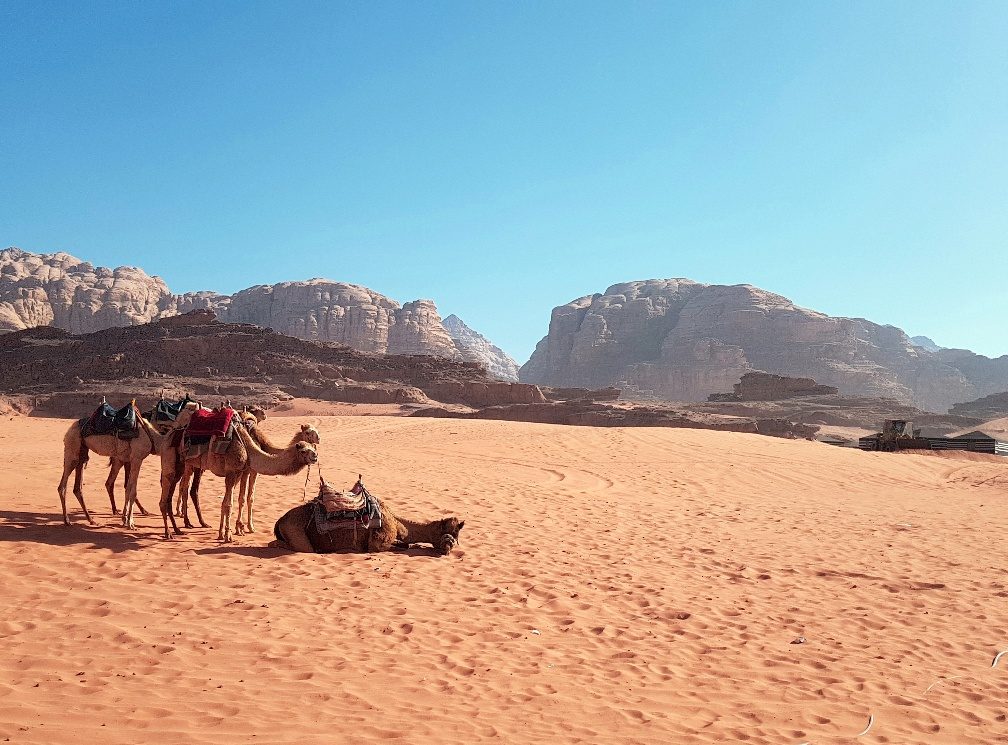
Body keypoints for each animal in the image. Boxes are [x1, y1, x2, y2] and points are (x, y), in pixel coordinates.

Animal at [56, 401, 201, 532]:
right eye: (193, 411)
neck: (155, 439)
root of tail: (70, 429)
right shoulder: (137, 458)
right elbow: (132, 490)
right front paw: (131, 523)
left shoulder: (131, 459)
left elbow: (128, 488)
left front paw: (125, 520)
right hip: (72, 448)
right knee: (62, 485)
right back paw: (67, 520)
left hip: (82, 453)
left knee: (78, 487)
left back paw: (91, 520)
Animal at [274, 479, 465, 556]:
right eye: (449, 535)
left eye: (456, 536)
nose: (447, 550)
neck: (398, 523)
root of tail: (279, 521)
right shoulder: (377, 544)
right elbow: (398, 547)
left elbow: (406, 544)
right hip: (297, 534)